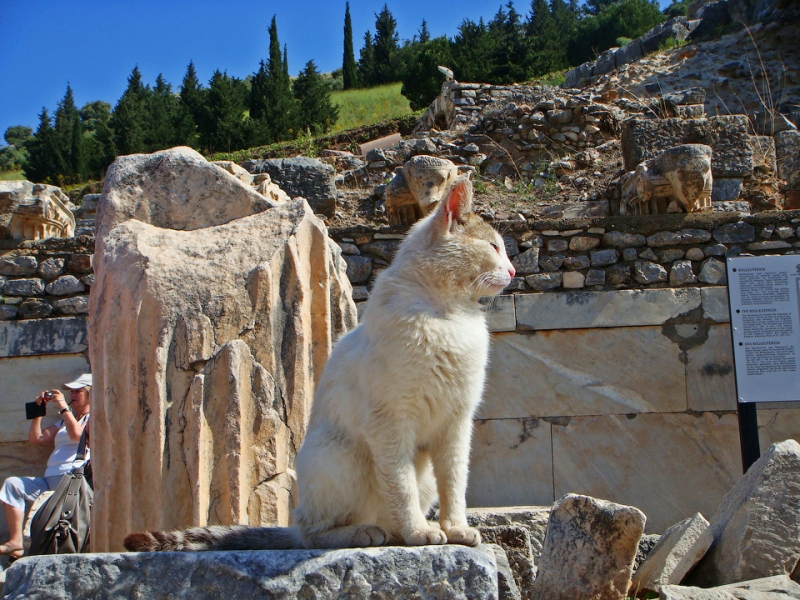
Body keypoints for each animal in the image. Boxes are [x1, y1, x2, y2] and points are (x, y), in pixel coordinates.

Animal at [122, 176, 516, 552]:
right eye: (494, 247)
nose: (513, 271)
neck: (449, 314)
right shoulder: (390, 422)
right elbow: (401, 486)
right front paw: (419, 531)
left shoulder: (456, 425)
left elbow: (455, 485)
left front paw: (456, 529)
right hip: (344, 456)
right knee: (313, 531)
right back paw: (367, 532)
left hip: (413, 472)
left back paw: (397, 531)